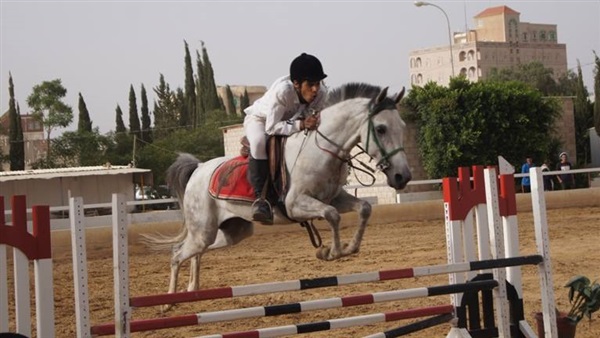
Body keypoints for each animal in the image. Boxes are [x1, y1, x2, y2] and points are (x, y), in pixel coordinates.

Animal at [146, 82, 412, 302]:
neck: (320, 149)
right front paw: (331, 252)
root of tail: (199, 169)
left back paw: (192, 288)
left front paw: (350, 247)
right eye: (381, 129)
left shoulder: (334, 197)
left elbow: (363, 208)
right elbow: (332, 215)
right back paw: (168, 302)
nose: (403, 176)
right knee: (177, 253)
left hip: (231, 232)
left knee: (196, 253)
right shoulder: (296, 204)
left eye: (402, 127)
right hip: (203, 230)